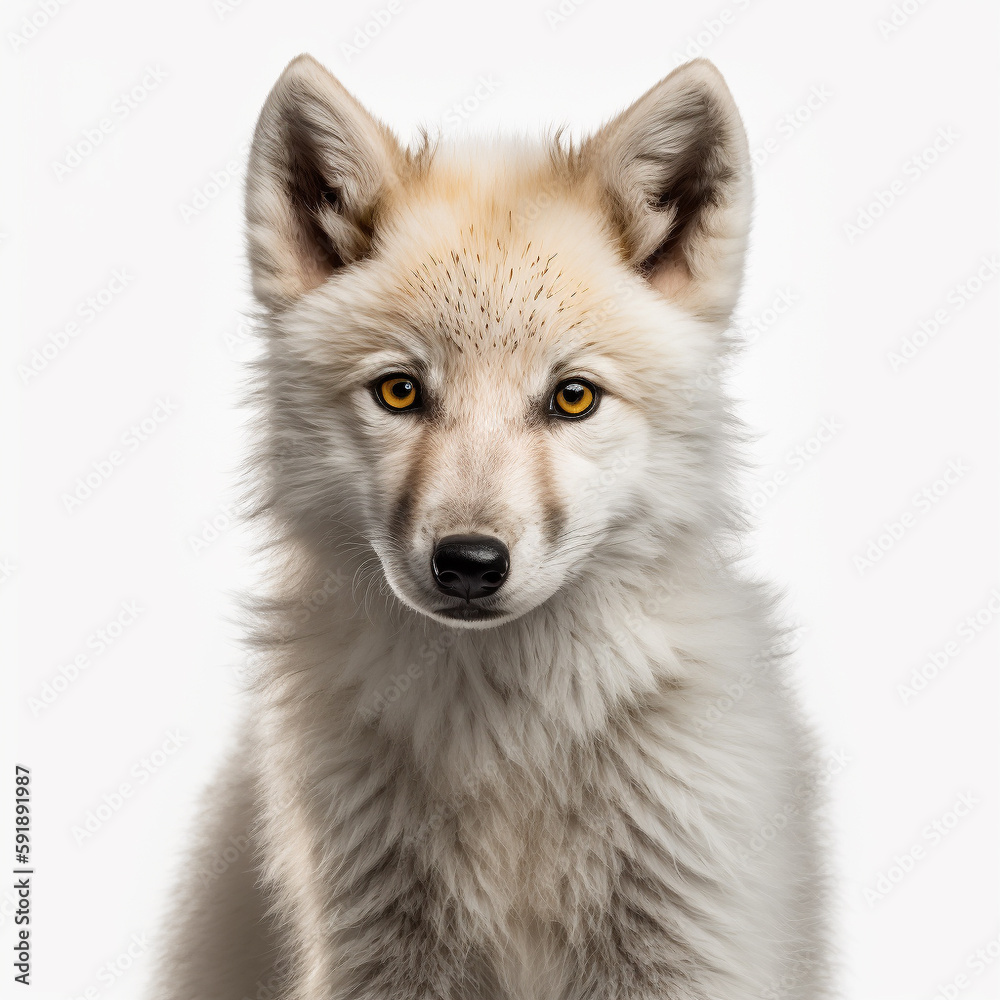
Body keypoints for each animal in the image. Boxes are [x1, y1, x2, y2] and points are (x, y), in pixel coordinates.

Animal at [150, 54, 830, 1000]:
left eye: (572, 397)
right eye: (400, 391)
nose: (469, 563)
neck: (505, 741)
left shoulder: (686, 950)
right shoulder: (376, 959)